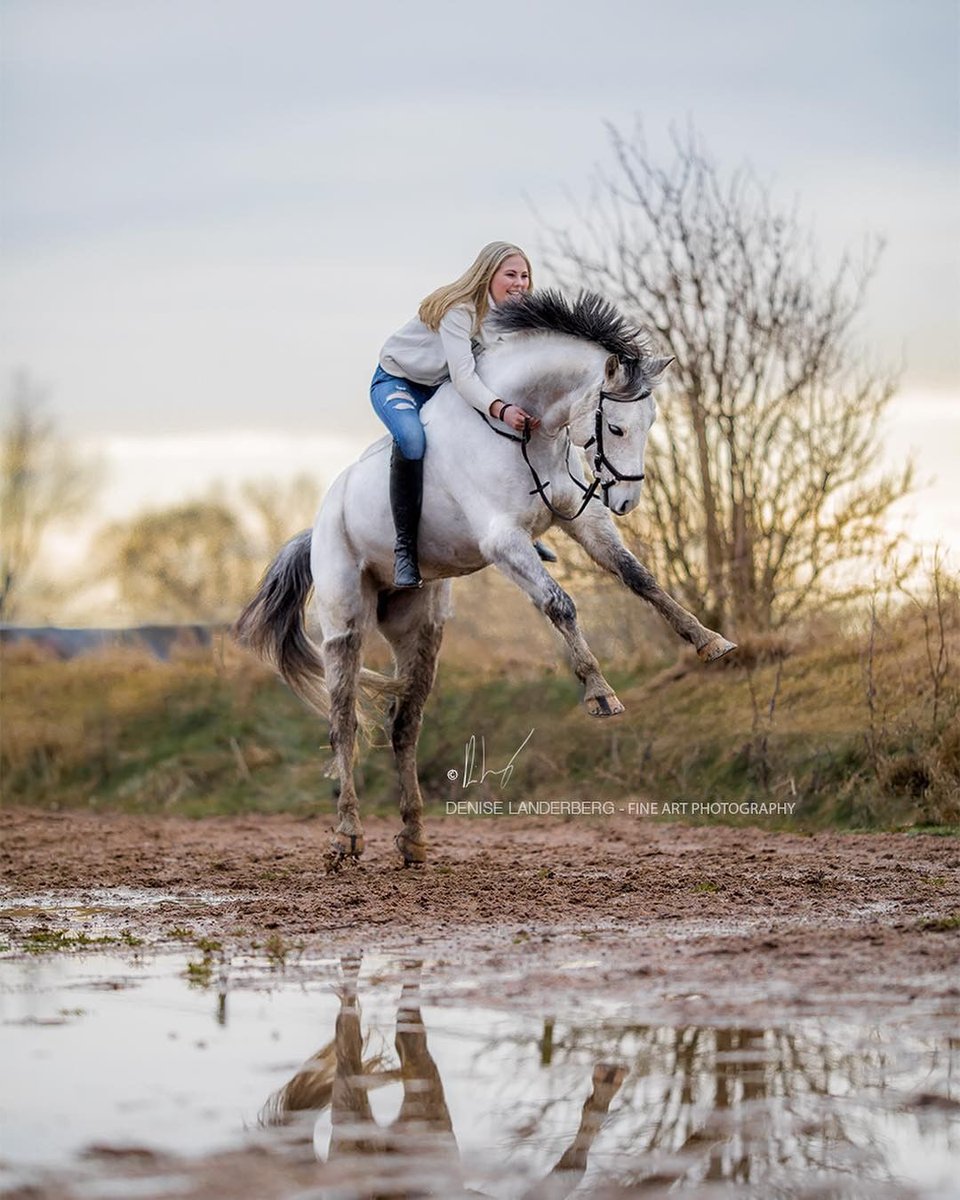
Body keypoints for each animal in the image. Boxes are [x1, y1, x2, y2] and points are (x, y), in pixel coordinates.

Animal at [235, 290, 736, 865]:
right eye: (615, 427)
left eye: (651, 422)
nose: (627, 500)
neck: (528, 431)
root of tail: (314, 528)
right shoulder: (503, 542)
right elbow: (560, 603)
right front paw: (600, 694)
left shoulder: (582, 518)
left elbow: (640, 578)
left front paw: (708, 640)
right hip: (344, 624)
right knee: (343, 725)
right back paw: (347, 837)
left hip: (420, 630)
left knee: (403, 726)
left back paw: (413, 838)